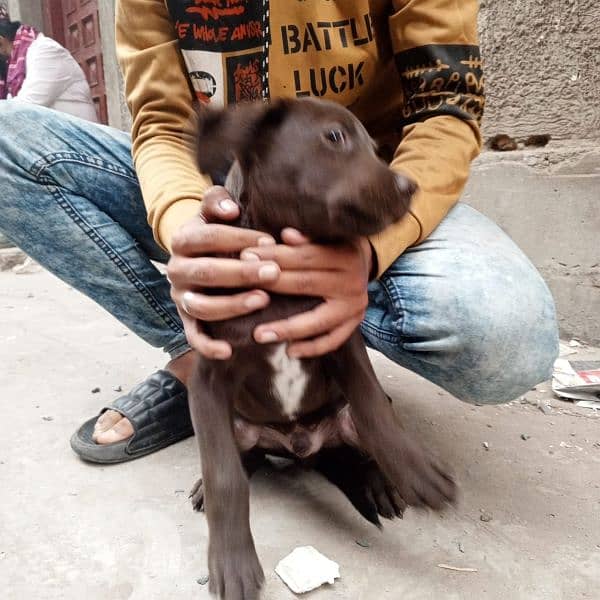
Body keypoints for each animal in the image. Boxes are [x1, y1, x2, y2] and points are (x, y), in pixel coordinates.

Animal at [188, 99, 454, 600]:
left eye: (376, 148)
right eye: (334, 137)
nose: (410, 187)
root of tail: (301, 446)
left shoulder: (342, 342)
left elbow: (375, 409)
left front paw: (417, 472)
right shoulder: (207, 376)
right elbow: (224, 477)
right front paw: (232, 562)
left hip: (341, 423)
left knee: (360, 442)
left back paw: (381, 484)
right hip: (239, 426)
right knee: (243, 457)